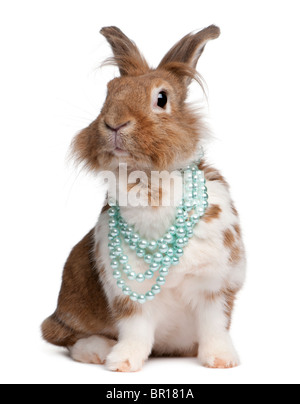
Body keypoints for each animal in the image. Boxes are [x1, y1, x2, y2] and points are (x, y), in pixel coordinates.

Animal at [41, 26, 245, 372]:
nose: (114, 123)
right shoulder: (129, 294)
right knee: (62, 335)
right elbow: (135, 330)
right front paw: (122, 363)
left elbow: (215, 326)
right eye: (108, 93)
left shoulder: (215, 286)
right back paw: (96, 350)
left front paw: (221, 361)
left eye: (161, 98)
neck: (150, 181)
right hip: (71, 302)